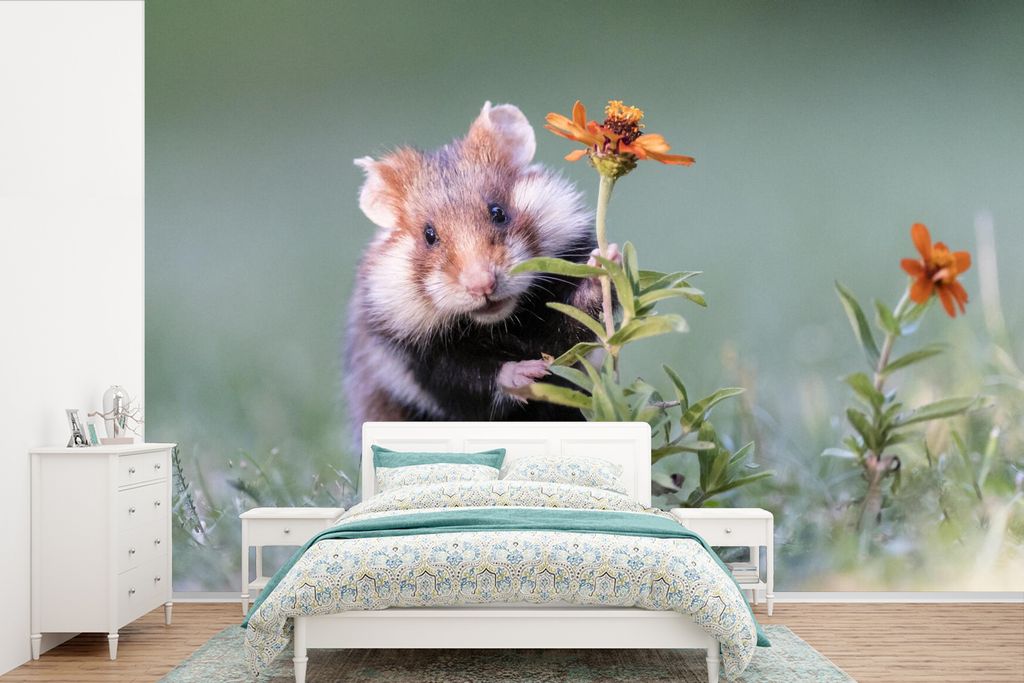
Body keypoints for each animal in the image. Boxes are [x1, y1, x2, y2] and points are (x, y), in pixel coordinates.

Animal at [344, 101, 611, 449]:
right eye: (429, 235)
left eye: (498, 212)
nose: (482, 285)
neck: (500, 324)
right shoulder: (411, 360)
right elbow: (469, 378)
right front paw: (528, 373)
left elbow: (571, 327)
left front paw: (608, 260)